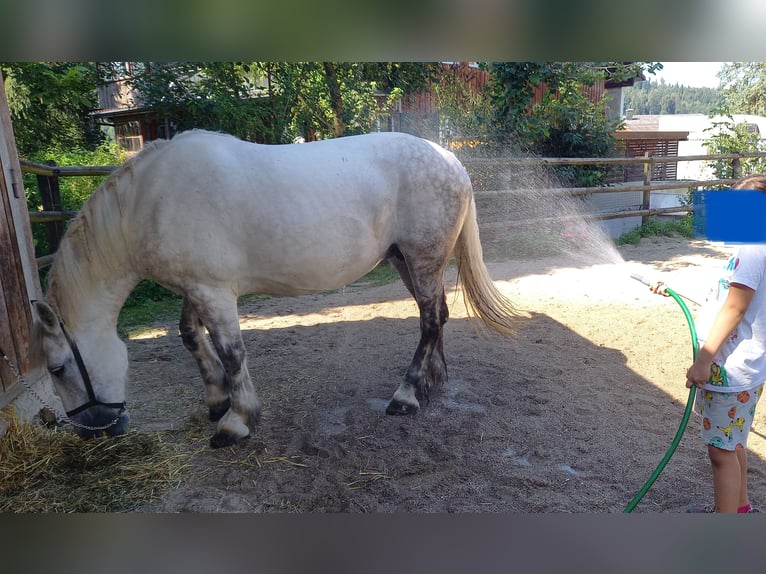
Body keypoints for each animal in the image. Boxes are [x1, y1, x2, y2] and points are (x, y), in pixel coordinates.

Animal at [30, 129, 521, 448]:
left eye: (57, 368)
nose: (95, 430)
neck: (152, 201)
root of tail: (451, 160)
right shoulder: (194, 288)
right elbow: (191, 337)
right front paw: (216, 401)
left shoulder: (213, 291)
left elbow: (231, 352)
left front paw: (237, 421)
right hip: (408, 260)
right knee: (433, 314)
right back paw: (431, 381)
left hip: (421, 258)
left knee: (429, 319)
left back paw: (406, 395)